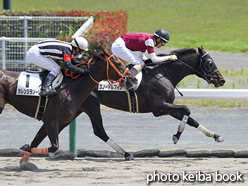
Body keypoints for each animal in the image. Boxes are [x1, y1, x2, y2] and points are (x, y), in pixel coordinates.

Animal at [0, 50, 136, 163]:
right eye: (118, 63)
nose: (133, 79)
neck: (70, 89)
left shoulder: (49, 122)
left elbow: (35, 142)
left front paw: (24, 160)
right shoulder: (51, 121)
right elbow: (54, 146)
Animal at [21, 45, 227, 161]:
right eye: (210, 63)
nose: (222, 80)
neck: (163, 73)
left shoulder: (168, 106)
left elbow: (190, 118)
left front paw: (216, 135)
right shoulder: (159, 108)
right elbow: (187, 109)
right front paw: (176, 136)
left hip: (76, 109)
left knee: (58, 126)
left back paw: (33, 149)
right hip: (91, 105)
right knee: (98, 131)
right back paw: (126, 154)